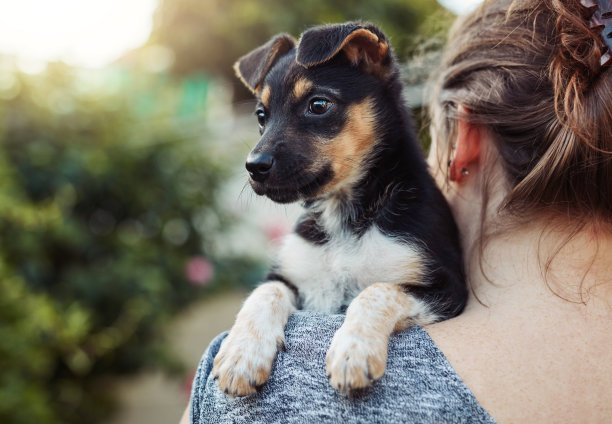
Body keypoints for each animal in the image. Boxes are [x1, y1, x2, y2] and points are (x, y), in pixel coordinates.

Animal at [213, 21, 466, 396]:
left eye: (318, 105)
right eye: (261, 115)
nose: (253, 166)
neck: (344, 217)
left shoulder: (448, 290)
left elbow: (378, 290)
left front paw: (354, 351)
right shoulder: (290, 277)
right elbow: (262, 293)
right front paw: (241, 354)